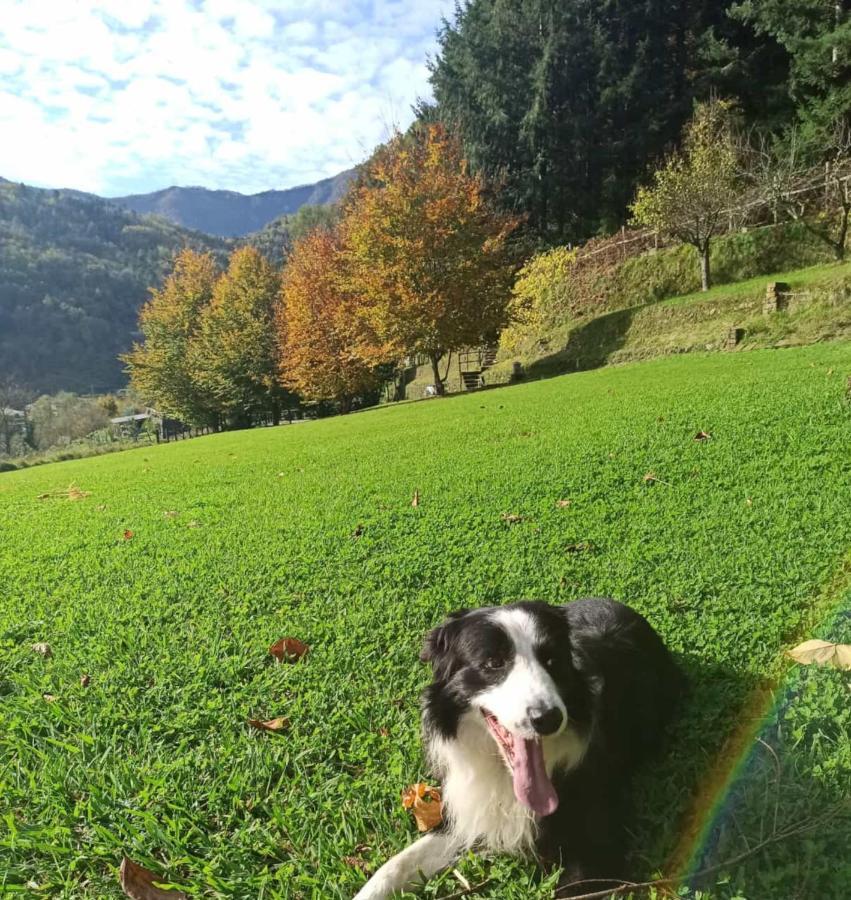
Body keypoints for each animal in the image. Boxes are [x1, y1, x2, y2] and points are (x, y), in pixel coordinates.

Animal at [352, 596, 684, 900]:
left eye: (552, 660)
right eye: (493, 663)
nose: (549, 718)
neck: (504, 773)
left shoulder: (600, 845)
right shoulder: (466, 809)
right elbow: (394, 866)